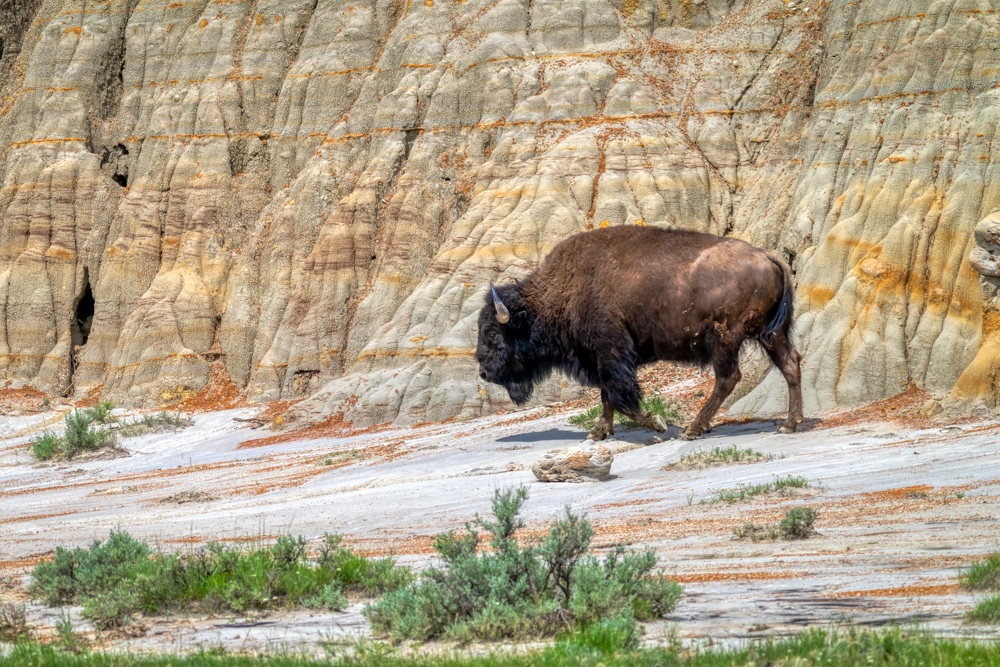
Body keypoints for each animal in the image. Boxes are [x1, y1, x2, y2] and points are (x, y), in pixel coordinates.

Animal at [474, 226, 803, 441]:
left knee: (728, 378)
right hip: (770, 335)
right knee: (790, 364)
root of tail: (770, 258)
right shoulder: (600, 359)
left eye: (492, 334)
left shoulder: (611, 353)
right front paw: (598, 432)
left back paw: (693, 429)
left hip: (724, 339)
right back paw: (790, 424)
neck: (563, 290)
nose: (483, 372)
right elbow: (607, 395)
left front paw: (656, 424)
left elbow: (620, 394)